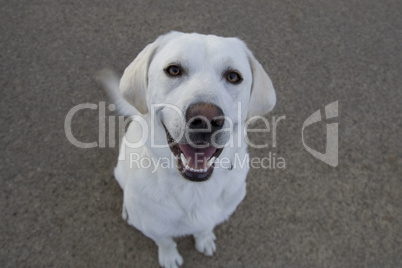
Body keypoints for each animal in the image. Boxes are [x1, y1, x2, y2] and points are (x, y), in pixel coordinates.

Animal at [97, 31, 276, 268]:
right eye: (174, 70)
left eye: (233, 76)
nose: (206, 119)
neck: (193, 188)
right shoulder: (155, 228)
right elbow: (165, 241)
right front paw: (169, 256)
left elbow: (204, 228)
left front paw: (204, 239)